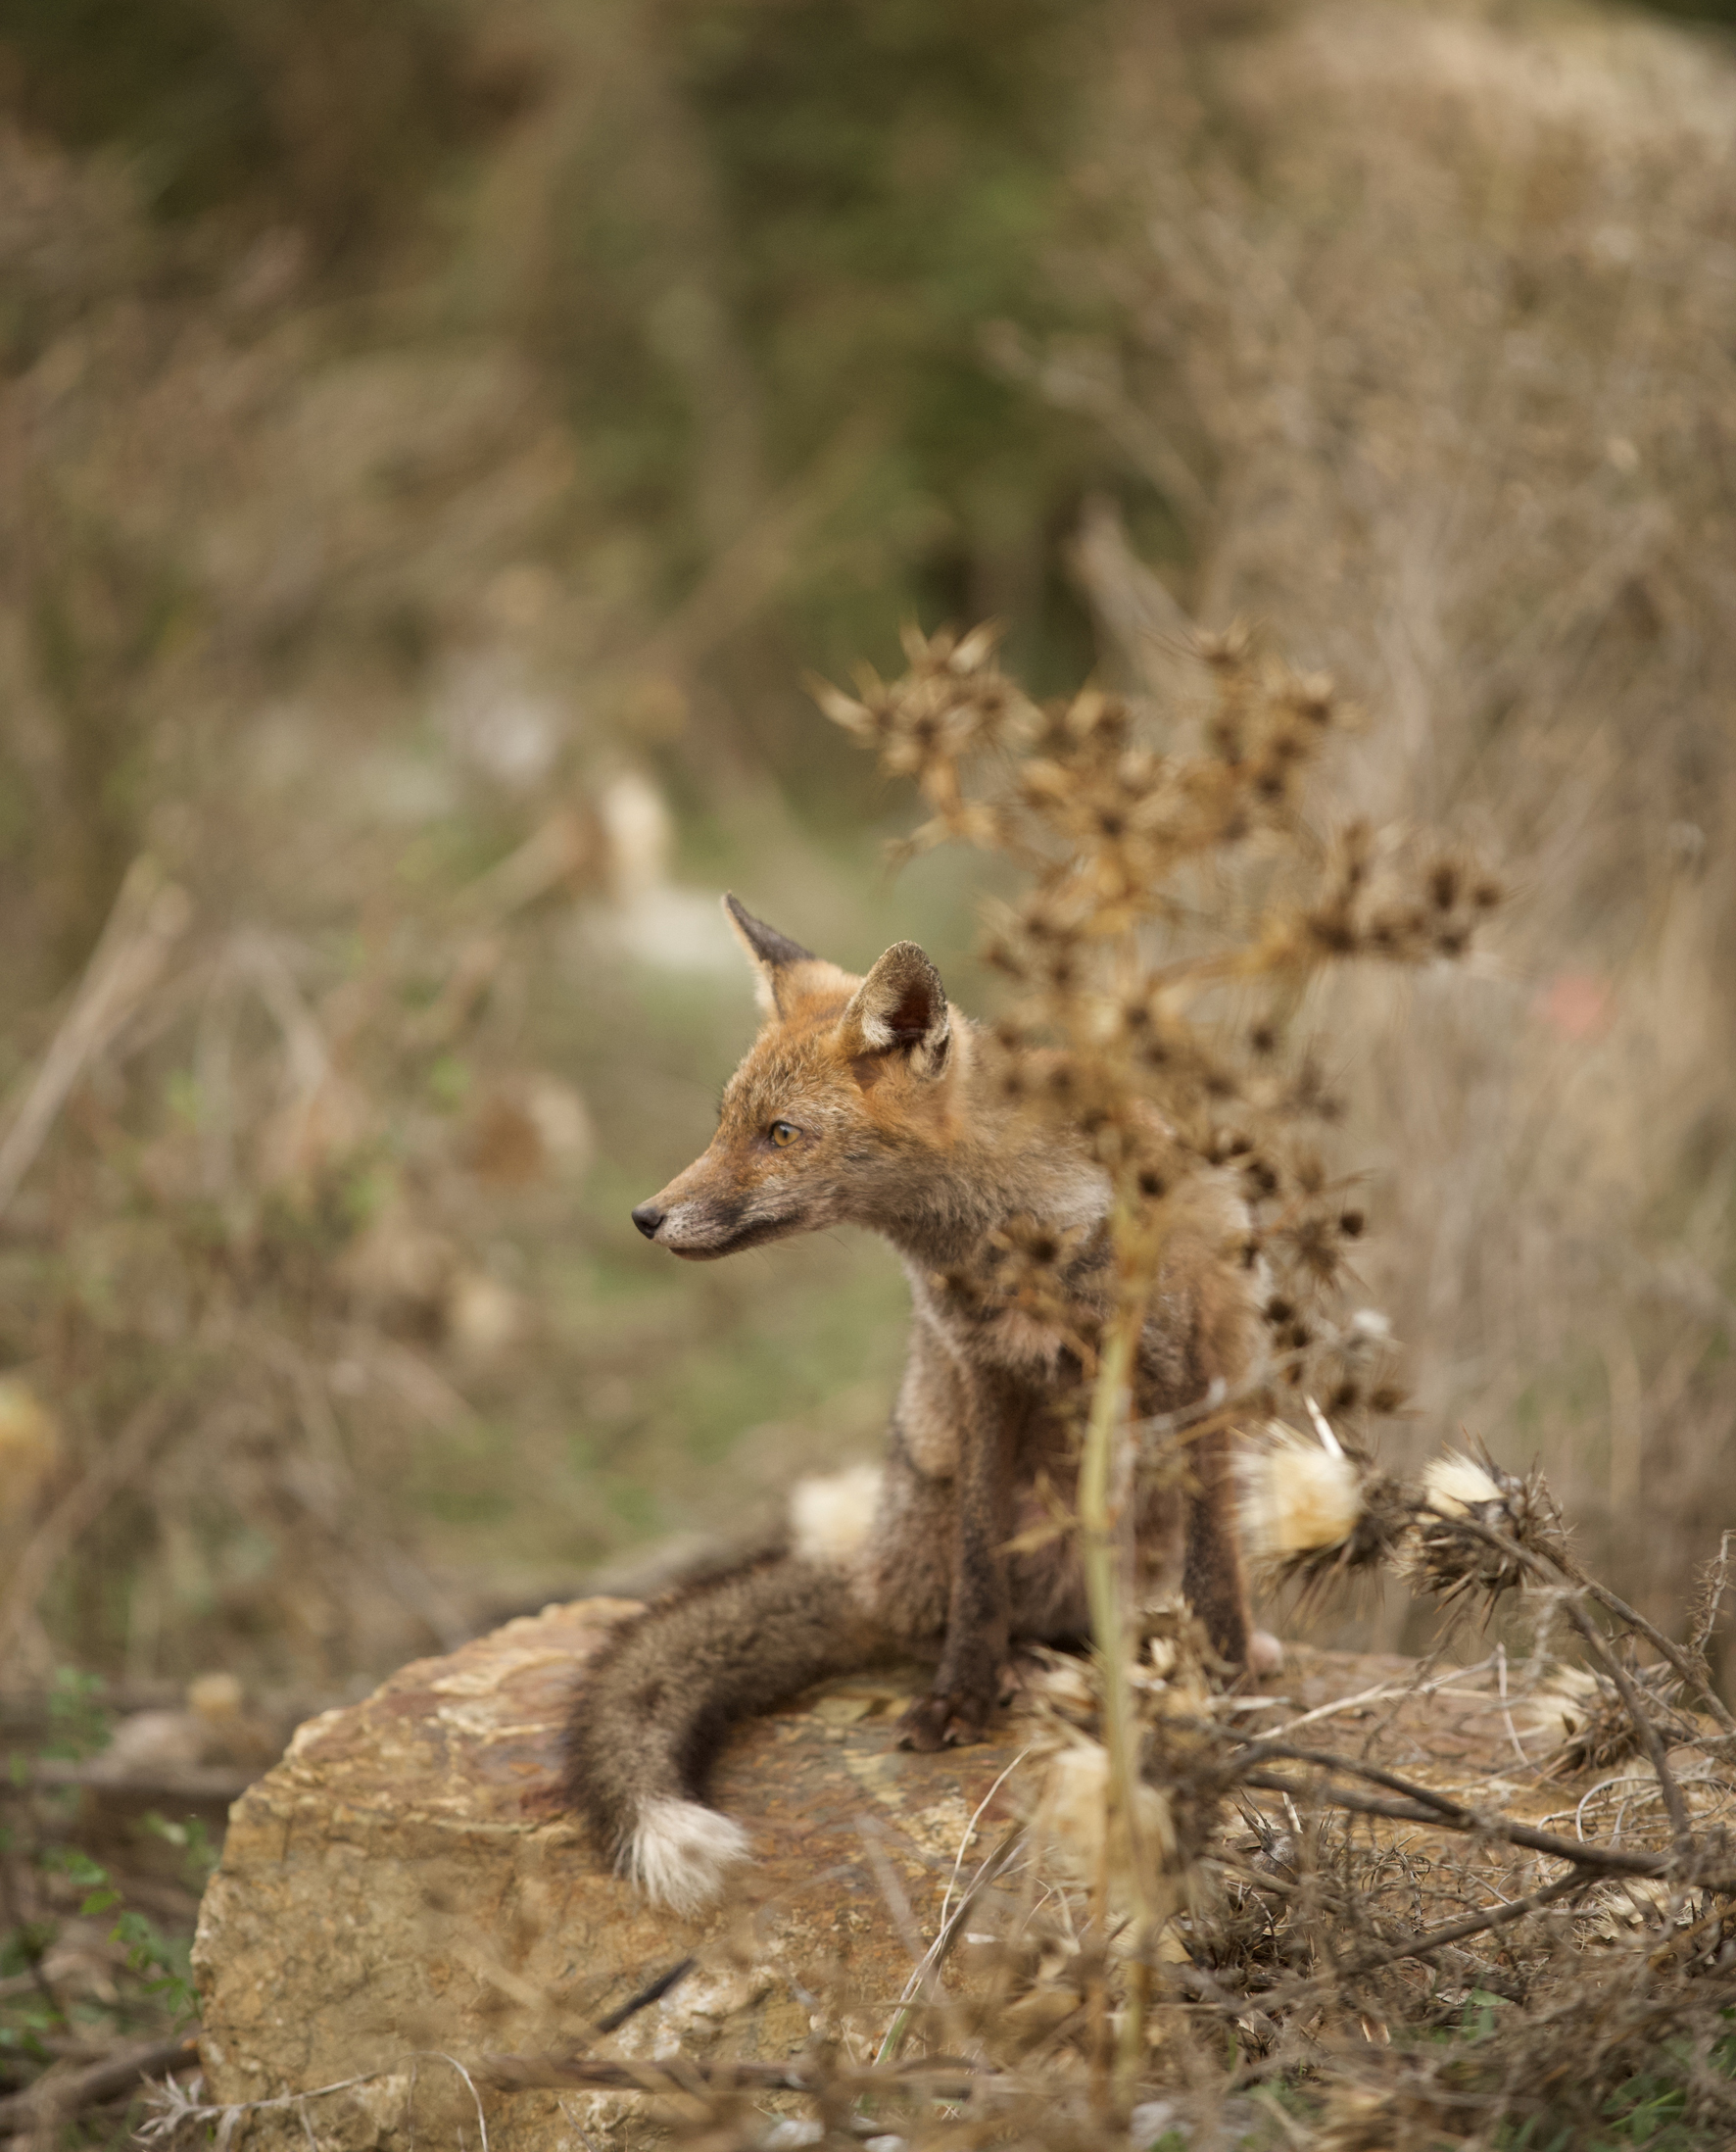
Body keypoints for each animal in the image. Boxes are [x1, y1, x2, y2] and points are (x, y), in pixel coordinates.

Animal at [561, 896, 1269, 1914]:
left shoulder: (1187, 1372)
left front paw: (1226, 1690)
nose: (645, 1218)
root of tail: (875, 1564)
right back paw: (1028, 1663)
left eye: (780, 1134)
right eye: (725, 1124)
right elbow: (980, 1565)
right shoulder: (983, 1374)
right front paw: (962, 1695)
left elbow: (1216, 1571)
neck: (1018, 1235)